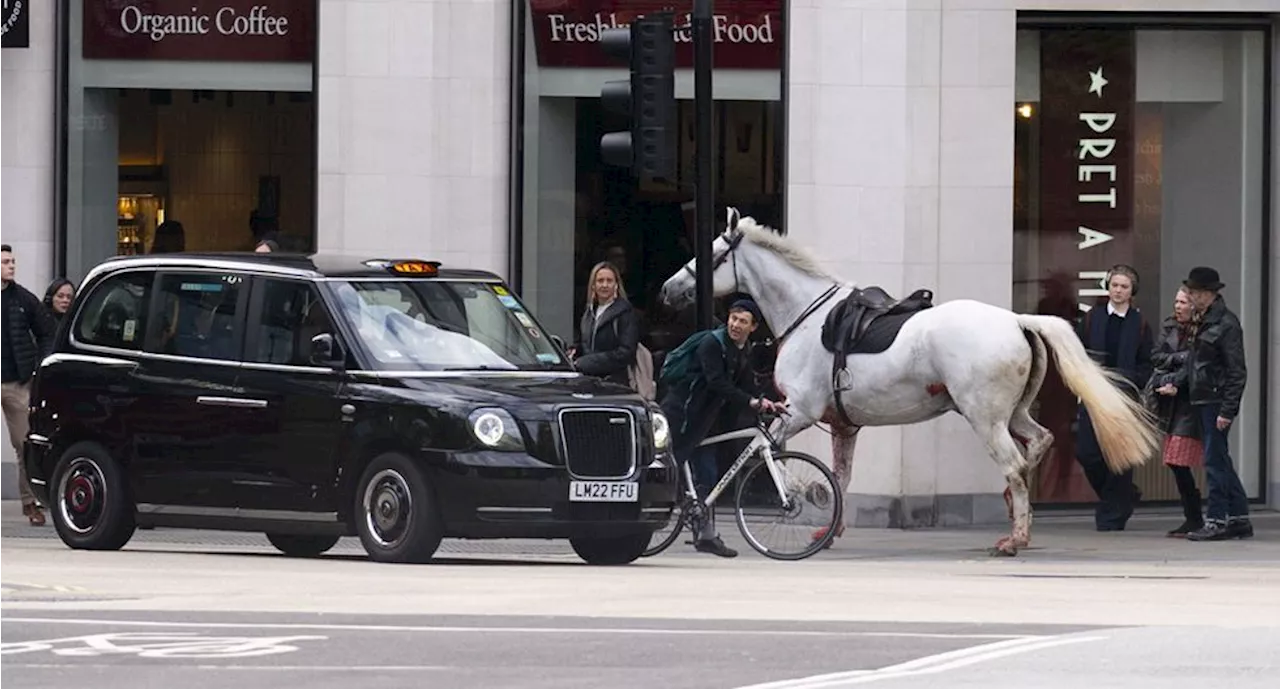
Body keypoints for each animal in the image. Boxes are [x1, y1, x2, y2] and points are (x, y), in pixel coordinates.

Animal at [660, 207, 1162, 553]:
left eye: (712, 253)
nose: (668, 289)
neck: (808, 315)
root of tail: (1017, 320)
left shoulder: (797, 411)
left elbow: (769, 457)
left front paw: (805, 494)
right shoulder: (842, 425)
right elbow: (840, 474)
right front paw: (830, 525)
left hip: (985, 420)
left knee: (1015, 466)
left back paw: (1014, 539)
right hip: (1013, 414)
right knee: (1038, 443)